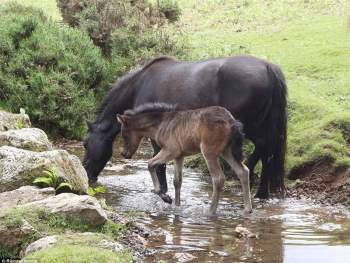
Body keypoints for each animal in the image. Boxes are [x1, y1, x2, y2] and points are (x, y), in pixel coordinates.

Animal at [117, 103, 252, 217]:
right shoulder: (179, 156)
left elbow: (150, 164)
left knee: (218, 179)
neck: (161, 124)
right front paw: (176, 206)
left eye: (124, 134)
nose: (124, 154)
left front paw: (164, 196)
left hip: (209, 153)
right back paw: (247, 209)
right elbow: (177, 181)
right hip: (227, 151)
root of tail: (231, 121)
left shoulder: (170, 151)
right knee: (243, 171)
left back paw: (210, 211)